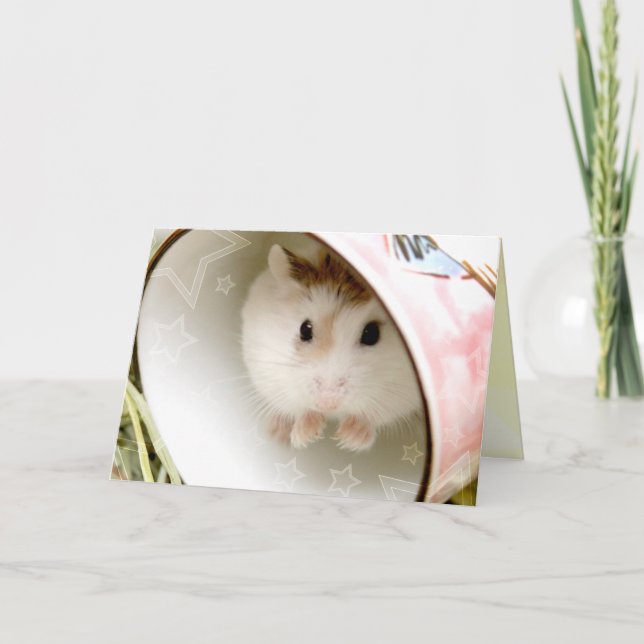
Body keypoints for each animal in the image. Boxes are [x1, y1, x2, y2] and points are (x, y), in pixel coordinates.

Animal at [241, 243, 423, 452]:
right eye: (304, 329)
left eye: (372, 334)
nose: (327, 404)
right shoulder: (268, 370)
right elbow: (299, 409)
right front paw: (304, 438)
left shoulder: (401, 392)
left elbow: (371, 415)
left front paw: (347, 440)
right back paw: (277, 433)